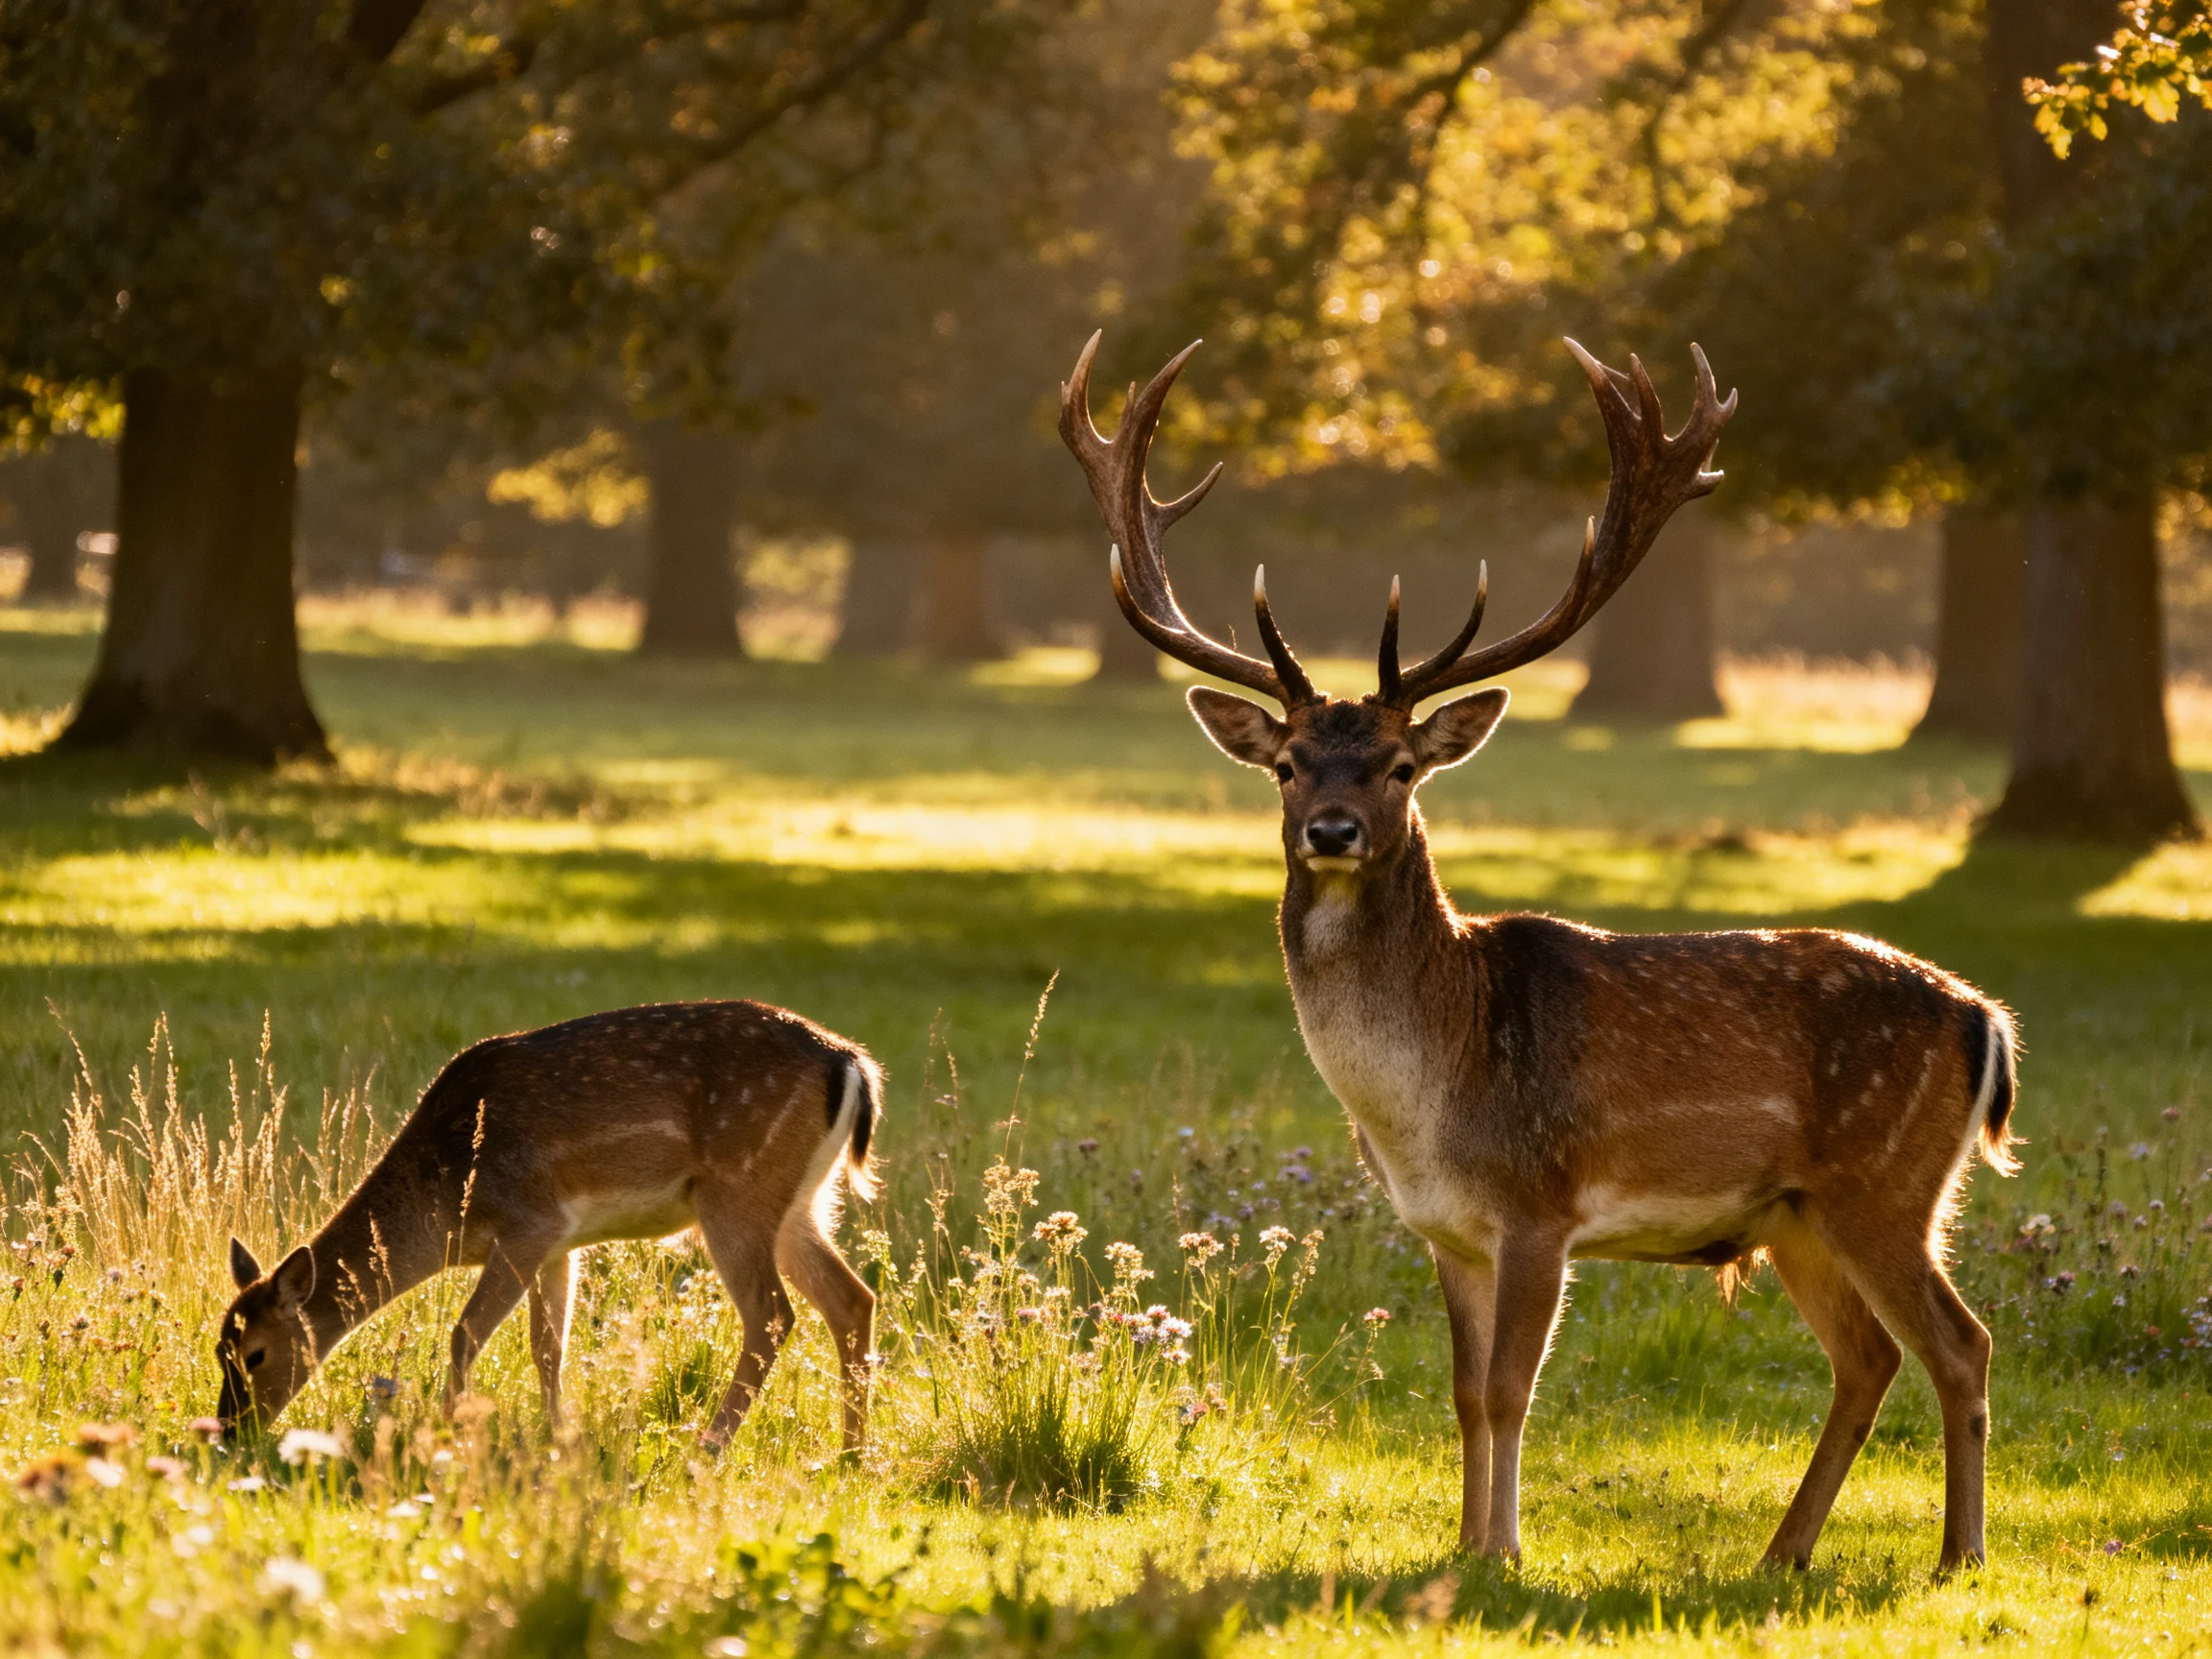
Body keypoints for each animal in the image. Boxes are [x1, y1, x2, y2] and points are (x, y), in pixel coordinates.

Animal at [214, 1001, 882, 1452]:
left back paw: (710, 1446)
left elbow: (465, 1334)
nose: (227, 1428)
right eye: (218, 1347)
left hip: (736, 1191)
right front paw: (559, 1435)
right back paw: (850, 1452)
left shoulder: (528, 1223)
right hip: (799, 1202)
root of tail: (853, 1067)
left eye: (254, 1355)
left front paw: (445, 1433)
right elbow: (548, 1346)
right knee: (852, 1298)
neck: (446, 1198)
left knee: (772, 1313)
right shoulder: (559, 1243)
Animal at [1060, 332, 2021, 1574]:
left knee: (1961, 1342)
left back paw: (1960, 1555)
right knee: (1872, 1355)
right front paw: (1465, 1545)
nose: (1334, 830)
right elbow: (1465, 1395)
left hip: (1884, 1181)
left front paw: (1507, 1554)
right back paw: (1782, 1552)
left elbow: (1516, 1389)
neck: (1425, 1101)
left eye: (1399, 766)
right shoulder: (1448, 1230)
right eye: (1287, 765)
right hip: (1799, 1212)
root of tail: (1984, 1020)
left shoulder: (1538, 1204)